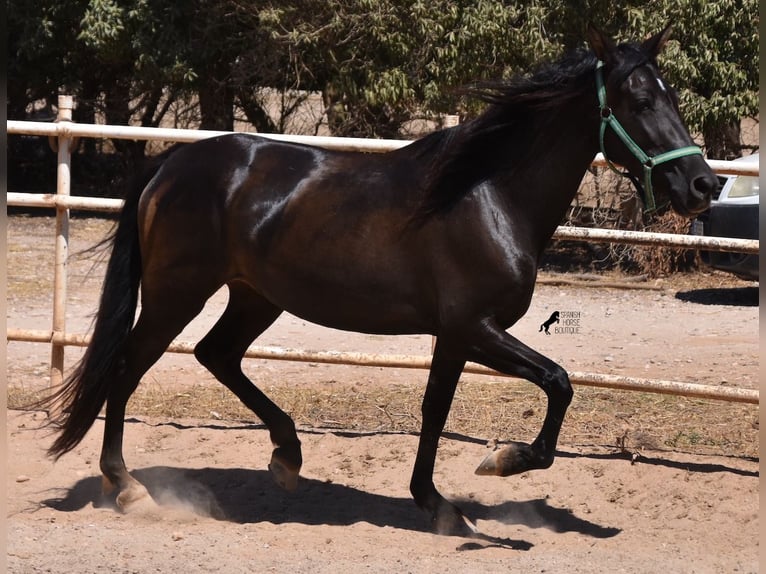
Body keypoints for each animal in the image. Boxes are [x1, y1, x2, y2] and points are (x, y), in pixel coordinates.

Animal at [45, 25, 716, 540]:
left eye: (672, 97)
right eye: (638, 101)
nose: (703, 185)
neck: (488, 196)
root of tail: (171, 163)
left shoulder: (455, 335)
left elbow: (437, 408)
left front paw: (439, 506)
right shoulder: (475, 327)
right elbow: (558, 382)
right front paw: (500, 464)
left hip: (255, 297)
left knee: (217, 354)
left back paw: (287, 457)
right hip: (175, 293)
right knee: (128, 367)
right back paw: (127, 486)